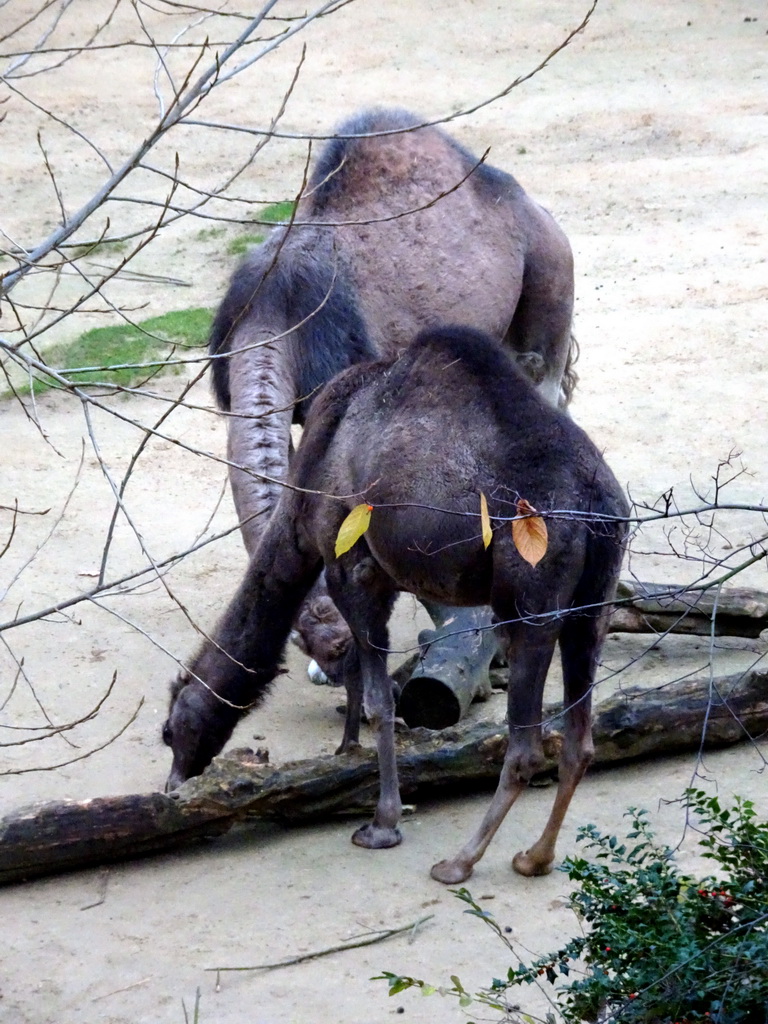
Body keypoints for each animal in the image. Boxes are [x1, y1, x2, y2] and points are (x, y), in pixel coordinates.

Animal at [165, 325, 626, 880]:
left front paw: (382, 823)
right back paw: (535, 857)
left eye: (171, 730)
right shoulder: (382, 578)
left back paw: (460, 861)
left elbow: (379, 699)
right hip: (592, 600)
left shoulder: (350, 565)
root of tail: (597, 503)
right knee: (579, 741)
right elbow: (361, 680)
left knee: (526, 748)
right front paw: (345, 751)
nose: (172, 786)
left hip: (531, 590)